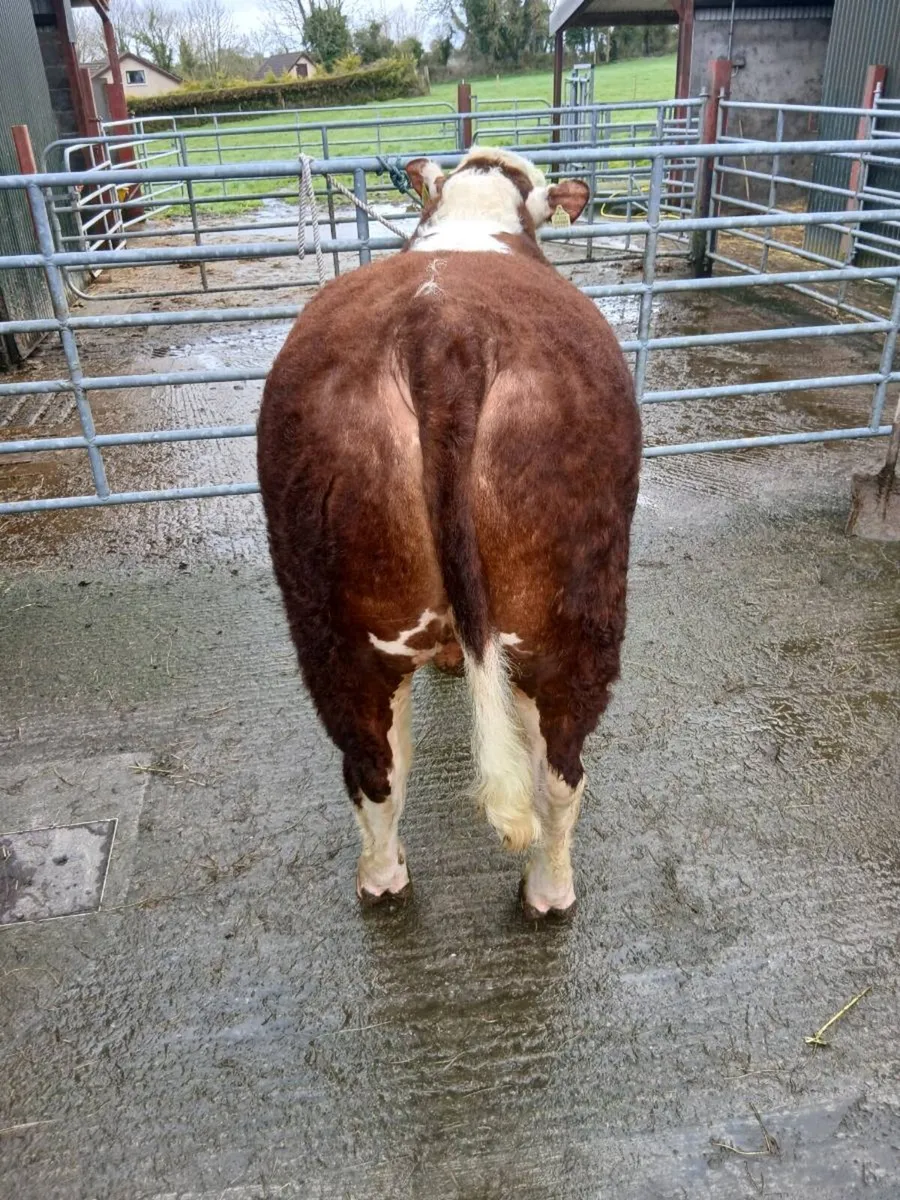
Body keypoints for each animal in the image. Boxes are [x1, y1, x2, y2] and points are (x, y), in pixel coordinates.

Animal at [256, 147, 641, 919]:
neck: (472, 224)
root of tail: (444, 332)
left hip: (332, 622)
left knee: (373, 767)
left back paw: (383, 880)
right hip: (577, 621)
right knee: (560, 773)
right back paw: (548, 891)